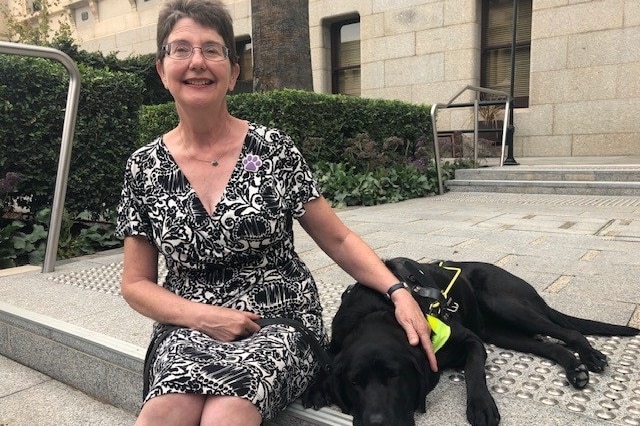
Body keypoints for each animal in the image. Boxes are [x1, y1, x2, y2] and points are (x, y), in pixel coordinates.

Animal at [302, 258, 640, 424]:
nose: (377, 422)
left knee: (569, 332)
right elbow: (326, 361)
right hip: (501, 331)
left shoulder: (471, 340)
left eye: (395, 376)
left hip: (506, 304)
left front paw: (481, 406)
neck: (378, 312)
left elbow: (475, 371)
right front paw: (316, 387)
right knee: (551, 345)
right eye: (354, 383)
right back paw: (575, 369)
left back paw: (591, 358)